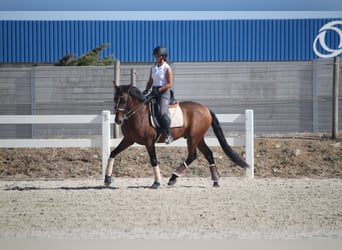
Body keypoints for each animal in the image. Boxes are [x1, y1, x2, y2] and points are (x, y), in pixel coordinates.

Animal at [104, 83, 248, 188]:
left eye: (123, 99)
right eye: (114, 99)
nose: (118, 120)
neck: (138, 114)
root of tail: (205, 108)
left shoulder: (149, 141)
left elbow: (154, 160)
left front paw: (157, 183)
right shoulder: (129, 139)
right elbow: (113, 153)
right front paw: (107, 179)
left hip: (193, 138)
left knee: (192, 155)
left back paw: (173, 178)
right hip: (198, 138)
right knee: (208, 154)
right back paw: (215, 181)